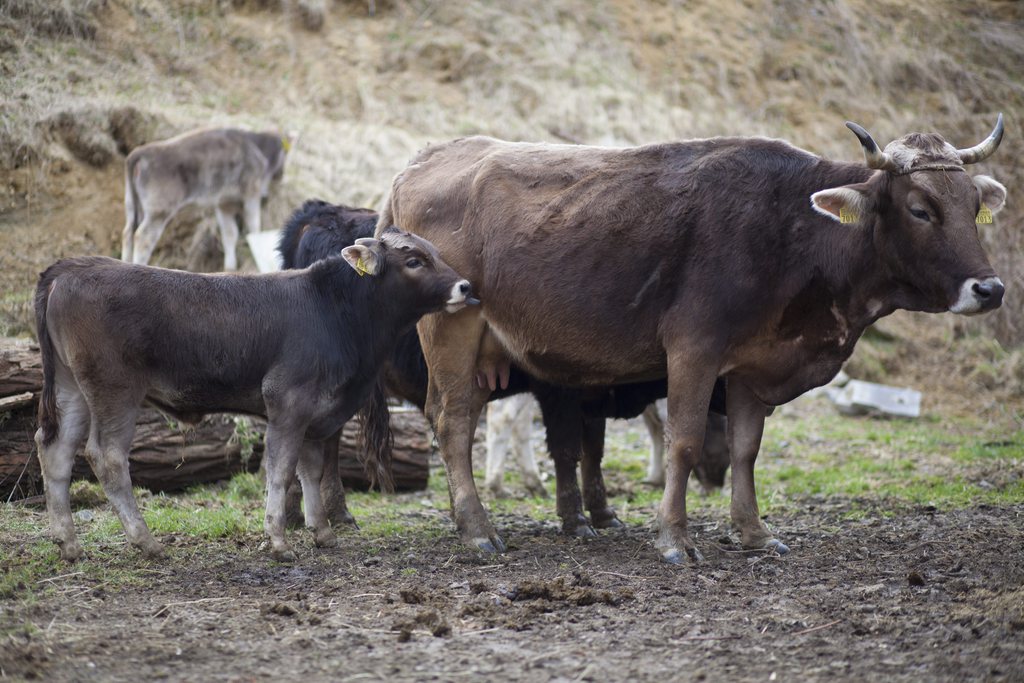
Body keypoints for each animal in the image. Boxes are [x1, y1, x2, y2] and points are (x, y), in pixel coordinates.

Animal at [382, 116, 1007, 561]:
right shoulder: (693, 350)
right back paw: (477, 529)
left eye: (974, 206)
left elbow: (745, 448)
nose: (992, 287)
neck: (793, 229)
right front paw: (674, 538)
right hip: (453, 327)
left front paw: (753, 532)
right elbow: (682, 440)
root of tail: (426, 158)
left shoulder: (751, 364)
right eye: (920, 209)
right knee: (454, 421)